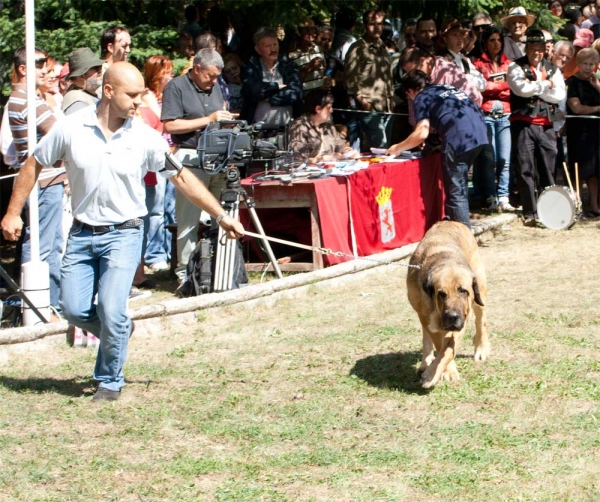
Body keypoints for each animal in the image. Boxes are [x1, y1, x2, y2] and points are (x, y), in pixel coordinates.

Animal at [406, 222, 490, 390]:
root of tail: (451, 221)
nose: (452, 317)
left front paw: (434, 374)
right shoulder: (429, 320)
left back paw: (481, 348)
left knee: (481, 322)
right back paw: (425, 363)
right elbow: (441, 347)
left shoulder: (463, 319)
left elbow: (449, 348)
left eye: (463, 291)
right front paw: (442, 371)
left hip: (480, 292)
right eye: (441, 294)